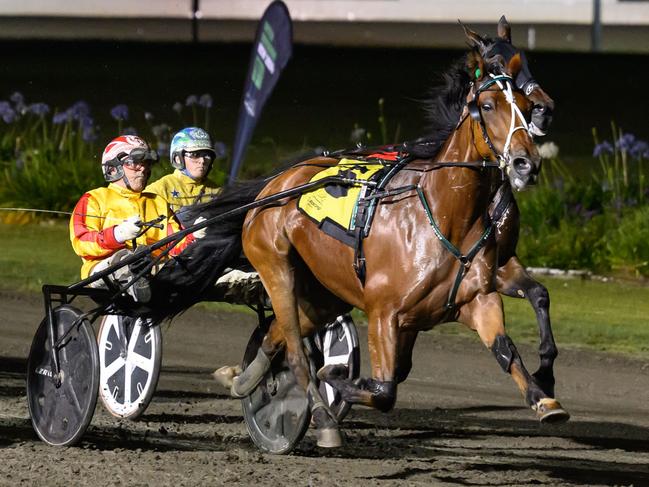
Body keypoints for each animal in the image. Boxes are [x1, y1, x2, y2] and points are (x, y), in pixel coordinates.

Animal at [229, 45, 572, 446]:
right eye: (487, 105)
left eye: (524, 104)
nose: (525, 163)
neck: (444, 215)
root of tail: (276, 183)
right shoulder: (384, 312)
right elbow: (384, 390)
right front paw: (336, 378)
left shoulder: (477, 298)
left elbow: (507, 348)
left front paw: (543, 396)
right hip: (276, 266)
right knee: (297, 350)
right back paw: (321, 416)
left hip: (325, 291)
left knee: (279, 333)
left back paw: (246, 380)